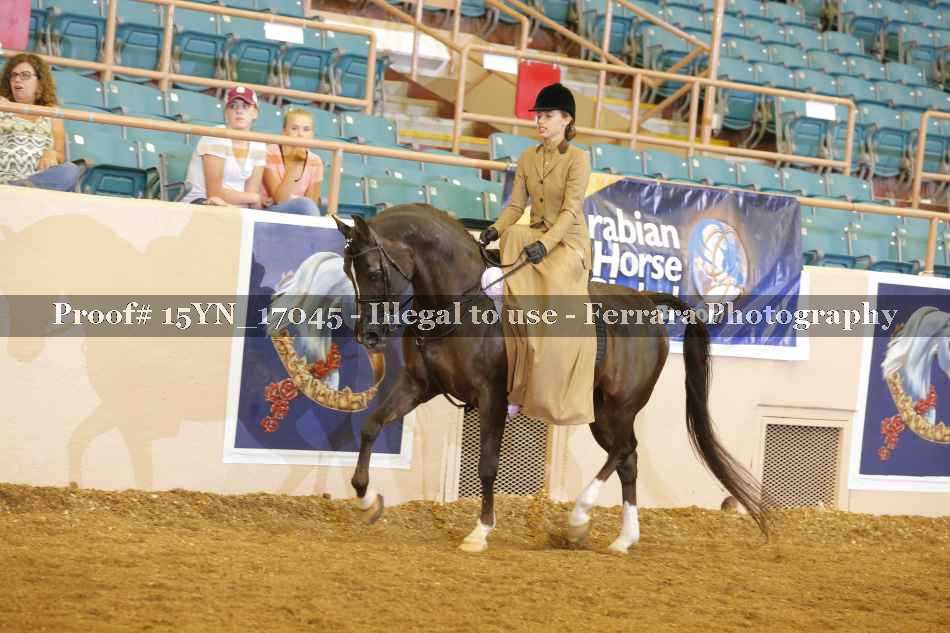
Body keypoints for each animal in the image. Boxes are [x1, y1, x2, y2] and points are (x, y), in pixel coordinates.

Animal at [332, 205, 768, 553]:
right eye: (348, 271)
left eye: (373, 270)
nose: (368, 335)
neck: (460, 305)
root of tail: (645, 301)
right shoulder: (419, 386)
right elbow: (371, 426)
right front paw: (367, 500)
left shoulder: (491, 397)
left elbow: (487, 465)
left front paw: (480, 532)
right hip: (600, 412)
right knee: (628, 460)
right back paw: (622, 539)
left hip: (619, 406)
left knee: (623, 450)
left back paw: (578, 518)